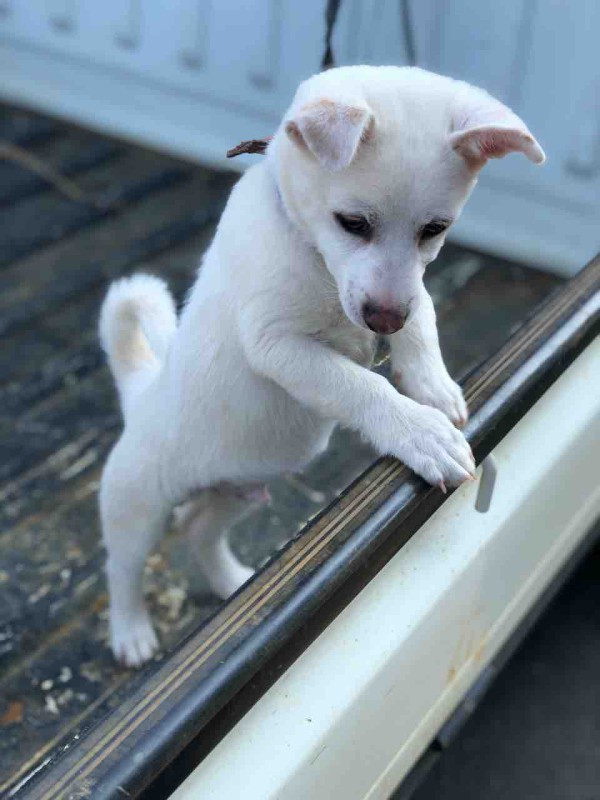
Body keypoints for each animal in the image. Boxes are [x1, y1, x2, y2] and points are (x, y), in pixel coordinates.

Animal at [97, 65, 544, 668]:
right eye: (352, 222)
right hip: (137, 509)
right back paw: (131, 632)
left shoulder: (409, 293)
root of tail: (141, 393)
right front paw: (421, 434)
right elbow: (361, 386)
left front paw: (435, 390)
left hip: (234, 493)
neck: (306, 247)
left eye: (434, 229)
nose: (382, 320)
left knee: (198, 530)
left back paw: (229, 579)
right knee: (122, 570)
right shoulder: (279, 345)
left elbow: (420, 325)